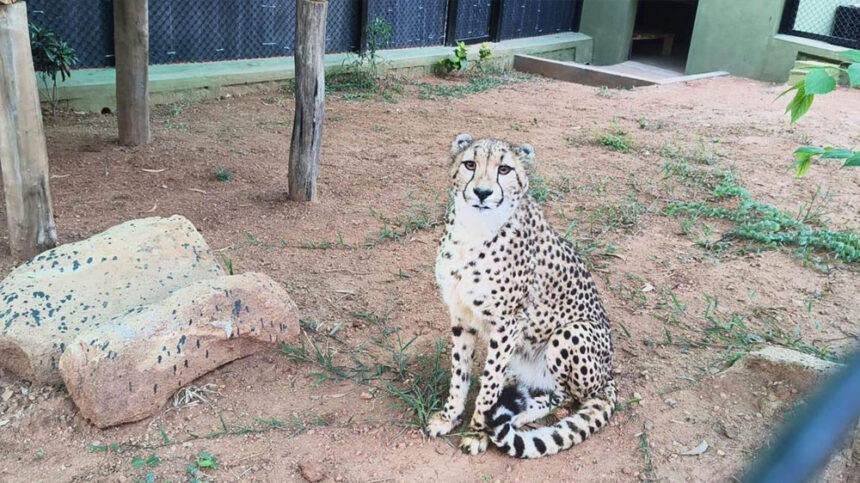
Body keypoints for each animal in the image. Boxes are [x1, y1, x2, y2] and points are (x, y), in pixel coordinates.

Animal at [424, 134, 617, 459]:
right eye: (470, 164)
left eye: (504, 169)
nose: (482, 192)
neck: (474, 229)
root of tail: (610, 374)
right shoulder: (461, 314)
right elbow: (460, 372)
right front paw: (449, 417)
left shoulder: (508, 322)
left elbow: (488, 387)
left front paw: (478, 432)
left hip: (572, 332)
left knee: (563, 396)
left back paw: (518, 414)